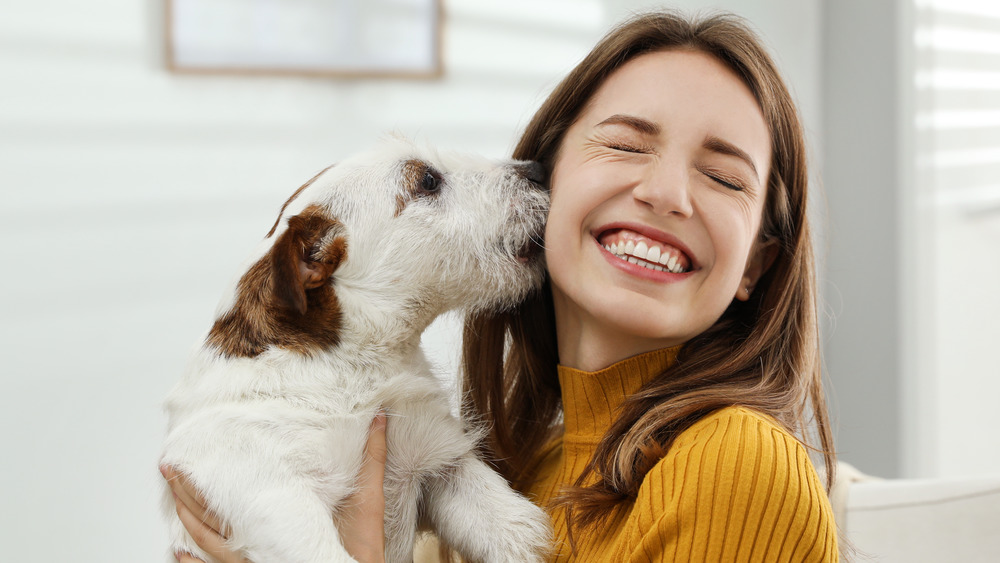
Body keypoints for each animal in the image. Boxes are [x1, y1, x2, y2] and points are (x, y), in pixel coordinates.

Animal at [164, 138, 556, 563]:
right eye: (428, 180)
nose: (538, 170)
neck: (360, 365)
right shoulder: (269, 488)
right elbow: (319, 549)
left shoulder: (439, 462)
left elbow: (508, 523)